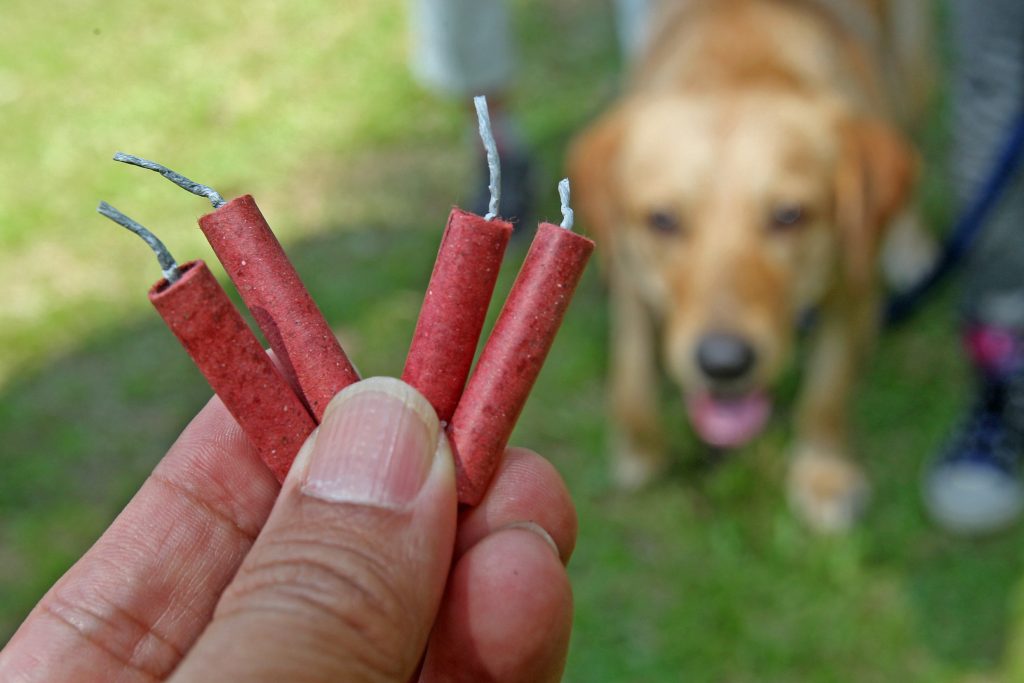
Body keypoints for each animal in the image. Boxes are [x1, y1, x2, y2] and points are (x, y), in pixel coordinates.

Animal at [569, 0, 937, 532]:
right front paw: (640, 447)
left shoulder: (853, 287)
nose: (724, 364)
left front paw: (822, 473)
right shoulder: (630, 273)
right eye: (662, 220)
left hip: (912, 62)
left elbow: (827, 391)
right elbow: (631, 366)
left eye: (789, 215)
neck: (741, 60)